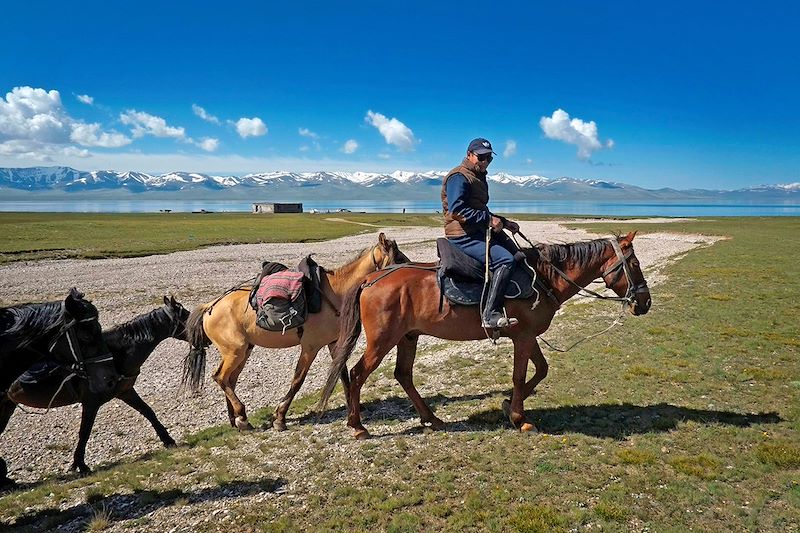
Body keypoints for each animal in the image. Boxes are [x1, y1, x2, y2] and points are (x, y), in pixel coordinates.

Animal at [183, 232, 409, 431]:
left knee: (230, 379)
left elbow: (342, 374)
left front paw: (355, 408)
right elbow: (298, 380)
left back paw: (236, 419)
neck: (334, 294)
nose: (409, 270)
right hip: (235, 351)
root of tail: (211, 306)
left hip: (243, 350)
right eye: (398, 257)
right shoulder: (310, 347)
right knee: (221, 377)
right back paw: (242, 418)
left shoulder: (333, 343)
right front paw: (280, 417)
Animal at [319, 232, 652, 439]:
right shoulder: (523, 337)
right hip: (382, 341)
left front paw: (508, 406)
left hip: (407, 337)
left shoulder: (527, 336)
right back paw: (358, 426)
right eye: (635, 264)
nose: (645, 302)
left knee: (403, 375)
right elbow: (520, 375)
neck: (543, 278)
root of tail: (370, 279)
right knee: (357, 374)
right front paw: (520, 419)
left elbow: (541, 370)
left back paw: (431, 418)